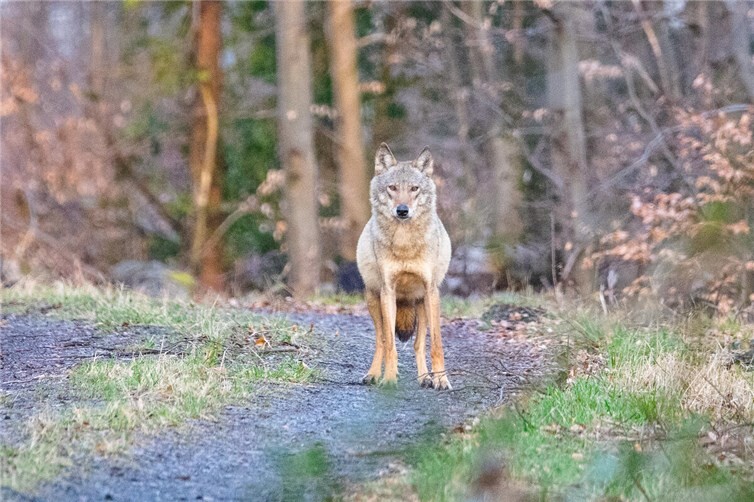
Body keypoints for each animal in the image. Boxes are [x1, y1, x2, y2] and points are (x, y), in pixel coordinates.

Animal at [356, 143, 452, 390]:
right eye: (392, 188)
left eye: (414, 188)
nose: (402, 210)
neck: (404, 243)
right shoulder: (387, 291)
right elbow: (390, 344)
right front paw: (389, 379)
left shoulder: (431, 291)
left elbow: (436, 344)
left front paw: (441, 379)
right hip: (374, 300)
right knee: (381, 340)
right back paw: (373, 375)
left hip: (422, 304)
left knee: (418, 344)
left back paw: (425, 378)